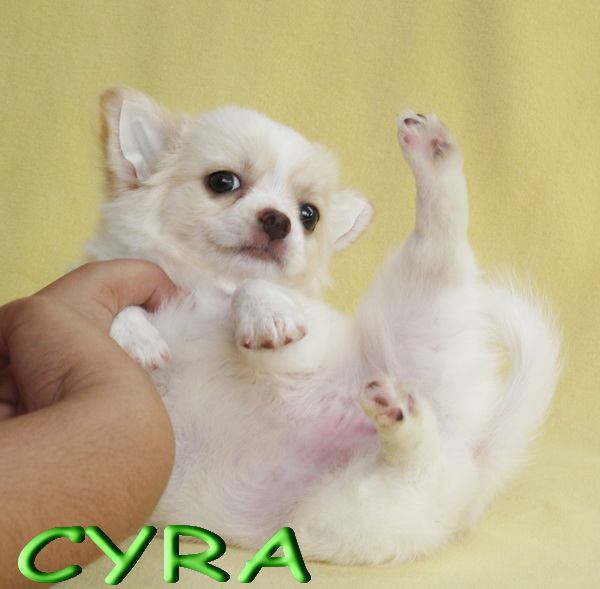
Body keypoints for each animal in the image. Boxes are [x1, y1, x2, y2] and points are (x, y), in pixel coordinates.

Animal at [86, 87, 560, 564]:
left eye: (308, 215)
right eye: (222, 182)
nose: (278, 220)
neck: (204, 281)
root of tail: (472, 450)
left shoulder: (303, 337)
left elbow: (253, 291)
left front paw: (264, 313)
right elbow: (115, 302)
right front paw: (137, 338)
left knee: (437, 250)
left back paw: (432, 156)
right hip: (351, 508)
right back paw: (398, 411)